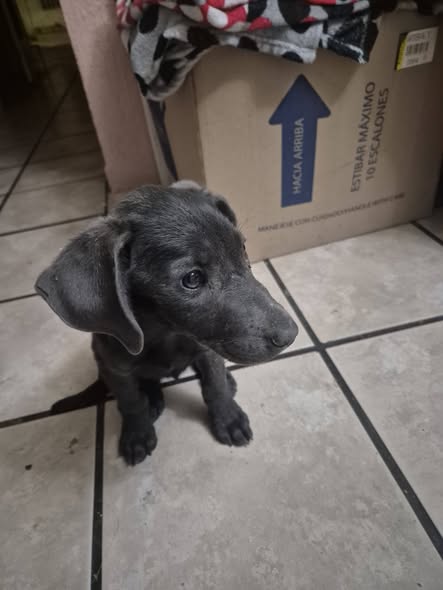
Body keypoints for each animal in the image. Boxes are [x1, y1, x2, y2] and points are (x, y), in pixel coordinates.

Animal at [35, 182, 298, 465]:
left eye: (243, 251)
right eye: (192, 278)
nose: (291, 334)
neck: (166, 334)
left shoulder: (206, 350)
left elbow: (215, 385)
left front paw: (228, 417)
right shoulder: (116, 369)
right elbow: (130, 402)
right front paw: (137, 434)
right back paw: (151, 397)